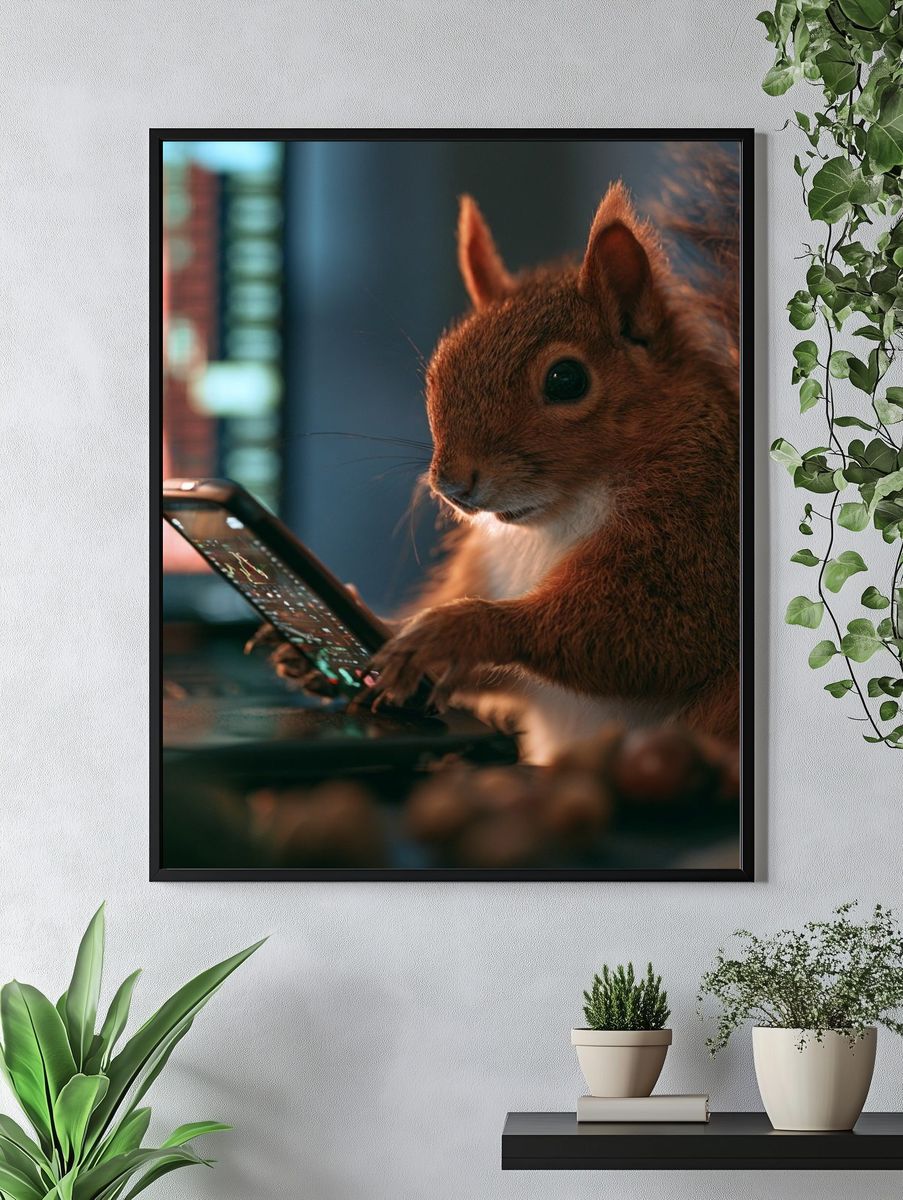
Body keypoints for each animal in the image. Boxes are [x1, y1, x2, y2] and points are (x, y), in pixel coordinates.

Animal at [252, 157, 741, 764]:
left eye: (566, 379)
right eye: (439, 369)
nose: (450, 485)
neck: (559, 514)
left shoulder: (698, 531)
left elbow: (653, 632)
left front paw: (458, 629)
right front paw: (340, 634)